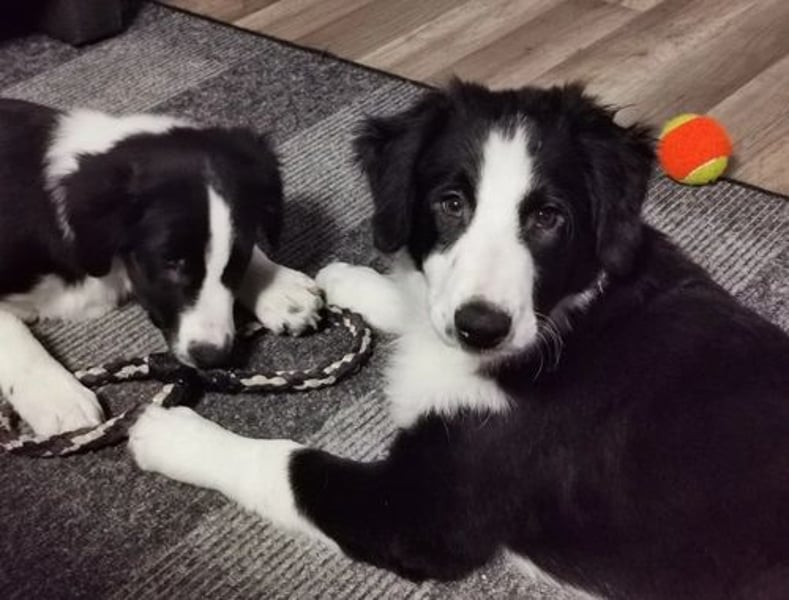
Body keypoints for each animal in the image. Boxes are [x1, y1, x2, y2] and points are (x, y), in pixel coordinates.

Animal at [0, 99, 322, 437]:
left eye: (240, 255)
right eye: (170, 261)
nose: (213, 355)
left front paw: (280, 288)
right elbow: (9, 326)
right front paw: (55, 394)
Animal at [129, 82, 789, 599]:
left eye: (549, 218)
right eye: (450, 204)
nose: (482, 327)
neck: (568, 319)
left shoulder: (421, 515)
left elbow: (290, 463)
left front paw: (174, 434)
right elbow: (418, 298)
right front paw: (359, 282)